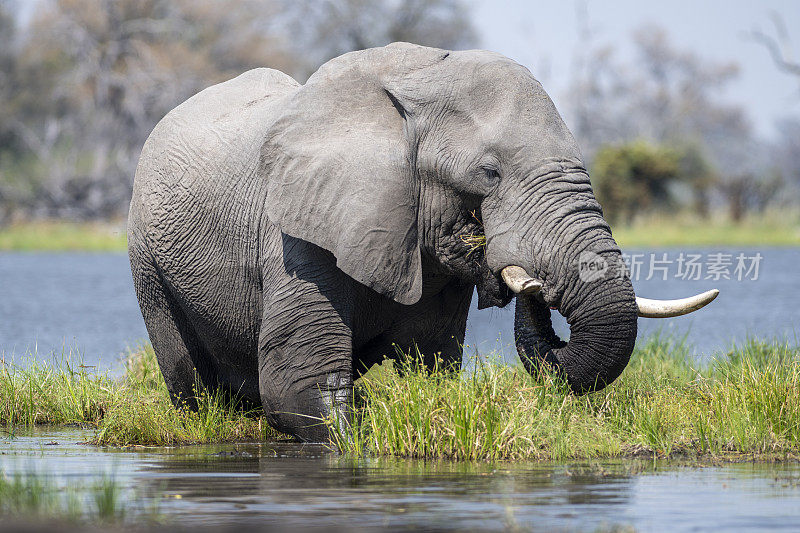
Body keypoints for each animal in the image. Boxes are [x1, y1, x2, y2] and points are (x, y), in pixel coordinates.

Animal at [128, 42, 716, 440]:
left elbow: (431, 370)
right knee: (191, 383)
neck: (417, 80)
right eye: (489, 174)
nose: (530, 283)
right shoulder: (295, 236)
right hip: (148, 262)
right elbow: (300, 387)